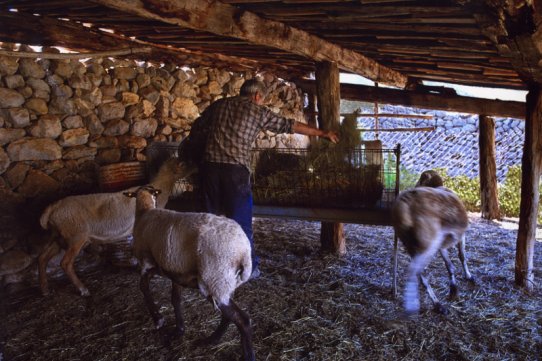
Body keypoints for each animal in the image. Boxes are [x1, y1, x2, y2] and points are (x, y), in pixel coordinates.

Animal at [37, 157, 193, 296]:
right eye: (183, 164)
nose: (194, 170)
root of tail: (51, 209)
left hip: (58, 236)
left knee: (43, 258)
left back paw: (45, 289)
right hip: (75, 236)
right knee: (65, 263)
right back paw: (83, 289)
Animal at [124, 186, 256, 360]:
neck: (145, 211)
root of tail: (243, 251)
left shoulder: (147, 263)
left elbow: (143, 288)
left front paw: (158, 318)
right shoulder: (174, 271)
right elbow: (175, 299)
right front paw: (179, 329)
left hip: (214, 279)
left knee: (242, 319)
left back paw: (245, 353)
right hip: (225, 283)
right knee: (229, 316)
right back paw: (212, 339)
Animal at [392, 172, 476, 316]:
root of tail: (406, 204)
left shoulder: (441, 245)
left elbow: (449, 266)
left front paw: (454, 290)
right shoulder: (460, 236)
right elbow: (462, 256)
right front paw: (468, 277)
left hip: (411, 244)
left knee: (421, 274)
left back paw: (437, 304)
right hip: (427, 244)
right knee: (413, 270)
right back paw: (417, 305)